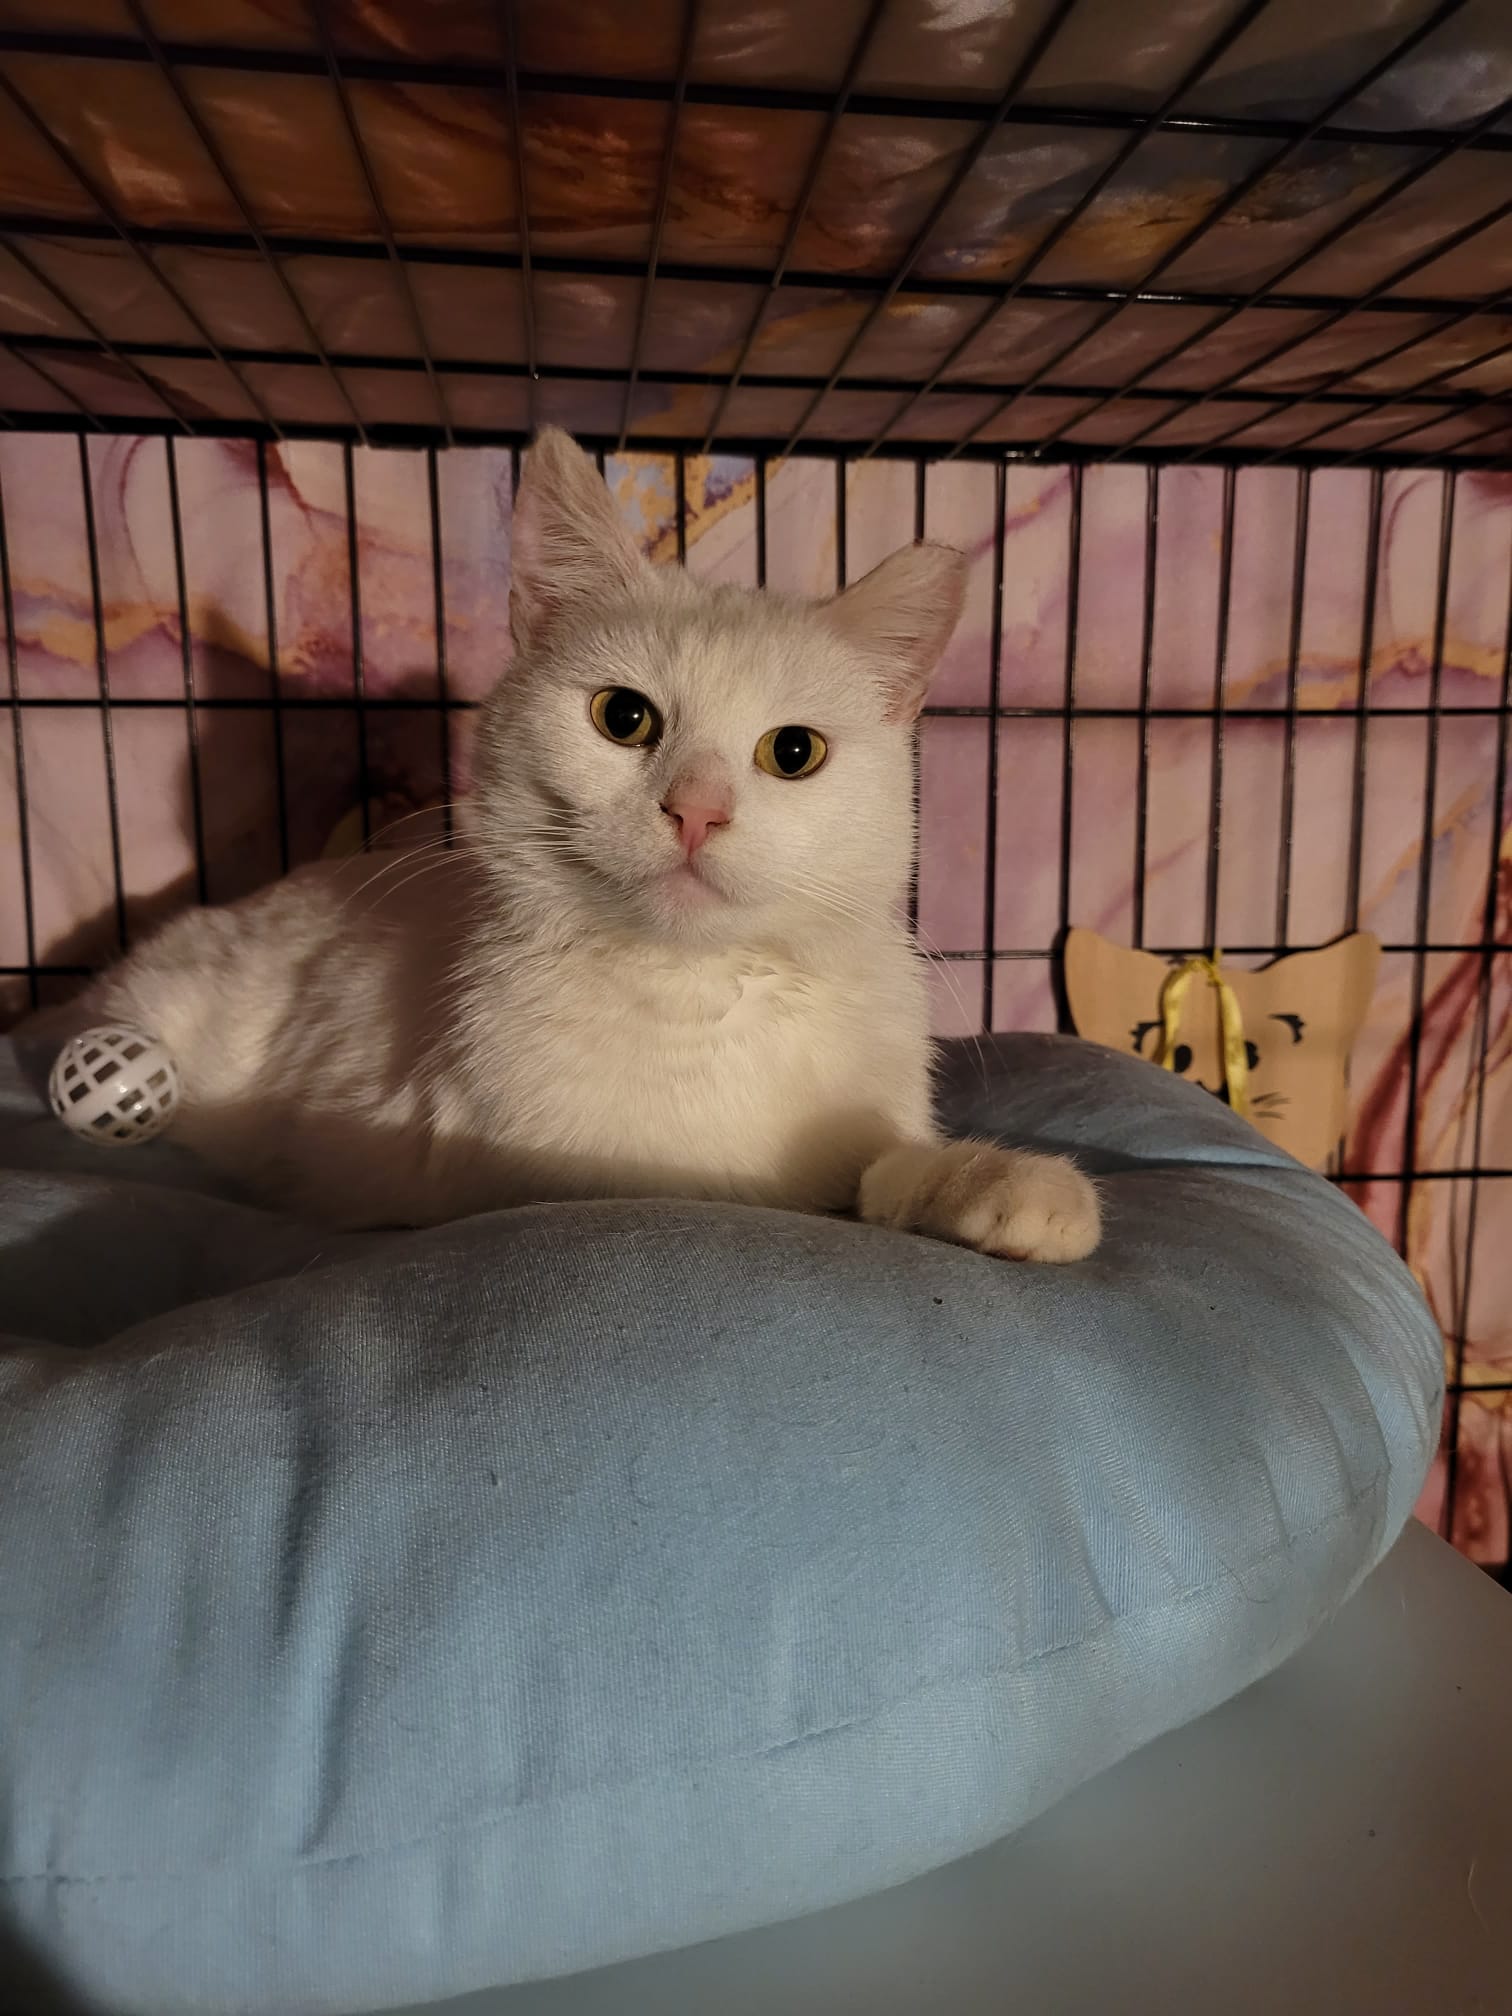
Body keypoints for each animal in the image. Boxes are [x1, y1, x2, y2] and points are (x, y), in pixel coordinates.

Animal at [65, 430, 1100, 1260]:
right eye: (623, 716)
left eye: (794, 752)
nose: (696, 810)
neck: (700, 999)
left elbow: (877, 1167)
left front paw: (998, 1184)